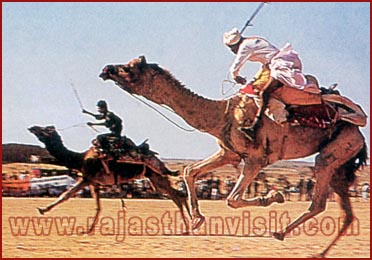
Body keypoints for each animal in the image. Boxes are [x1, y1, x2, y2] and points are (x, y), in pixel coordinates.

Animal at [28, 125, 190, 233]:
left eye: (45, 129)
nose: (32, 128)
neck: (79, 158)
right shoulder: (94, 182)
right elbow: (98, 206)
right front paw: (89, 229)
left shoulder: (88, 179)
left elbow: (66, 194)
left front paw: (42, 209)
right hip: (154, 179)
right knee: (176, 195)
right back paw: (188, 225)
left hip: (156, 175)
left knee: (177, 196)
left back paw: (188, 227)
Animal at [99, 55, 370, 256]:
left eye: (129, 68)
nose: (106, 69)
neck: (222, 115)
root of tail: (360, 131)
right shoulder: (229, 153)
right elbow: (189, 171)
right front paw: (197, 219)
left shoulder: (256, 158)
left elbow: (232, 199)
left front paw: (275, 195)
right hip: (341, 162)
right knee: (346, 213)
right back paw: (316, 251)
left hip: (335, 150)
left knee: (319, 200)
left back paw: (281, 233)